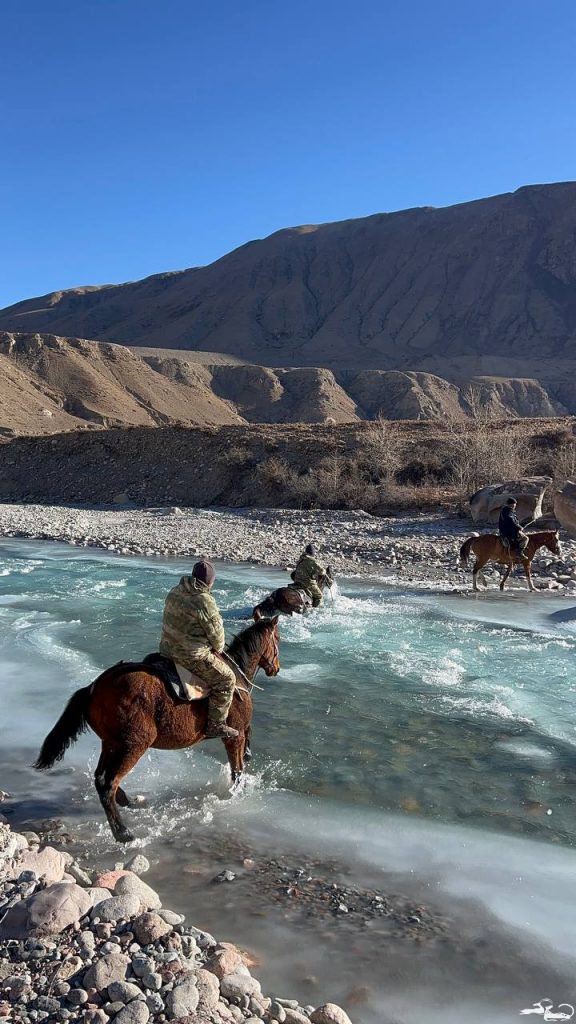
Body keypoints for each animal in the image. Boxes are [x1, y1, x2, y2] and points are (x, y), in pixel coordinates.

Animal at [33, 614, 280, 839]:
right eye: (277, 639)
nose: (276, 668)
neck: (236, 676)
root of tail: (94, 688)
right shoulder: (233, 736)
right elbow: (237, 770)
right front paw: (237, 792)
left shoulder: (239, 733)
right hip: (134, 745)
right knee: (108, 783)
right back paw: (123, 833)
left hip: (111, 743)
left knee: (100, 777)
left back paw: (127, 801)